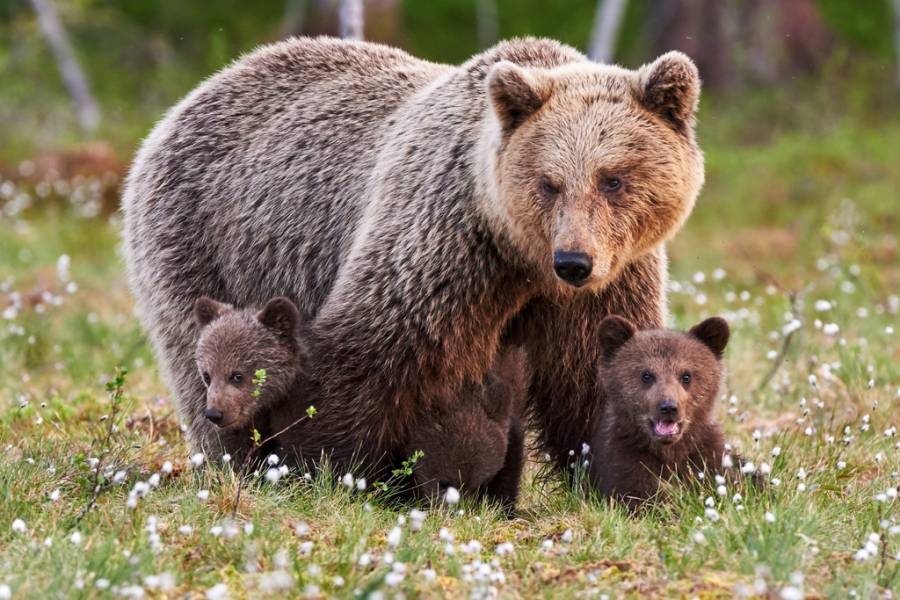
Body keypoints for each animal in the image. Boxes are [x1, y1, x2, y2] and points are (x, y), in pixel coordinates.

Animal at [123, 36, 704, 474]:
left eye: (613, 179)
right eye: (548, 182)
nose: (574, 262)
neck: (520, 259)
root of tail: (189, 98)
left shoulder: (608, 282)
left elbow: (597, 372)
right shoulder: (442, 242)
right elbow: (370, 353)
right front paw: (329, 466)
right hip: (206, 240)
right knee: (207, 354)